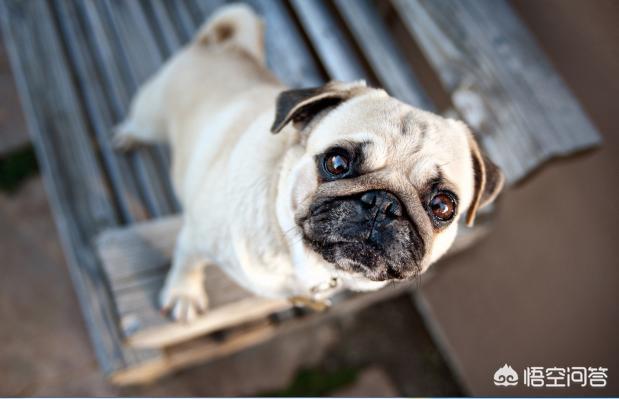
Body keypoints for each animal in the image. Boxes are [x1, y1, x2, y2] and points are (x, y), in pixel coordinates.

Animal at [115, 3, 504, 322]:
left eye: (443, 206)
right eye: (336, 162)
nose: (383, 204)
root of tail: (221, 46)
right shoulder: (196, 236)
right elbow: (186, 260)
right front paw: (184, 293)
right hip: (150, 115)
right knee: (138, 124)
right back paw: (124, 137)